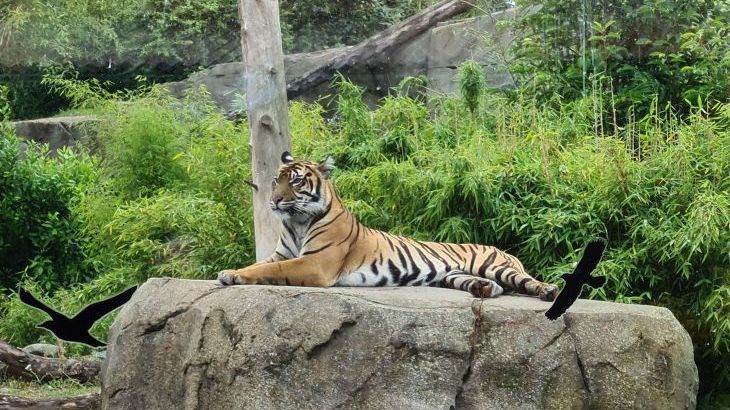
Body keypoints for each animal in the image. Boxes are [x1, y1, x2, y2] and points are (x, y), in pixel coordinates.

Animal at [216, 151, 556, 302]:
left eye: (296, 181)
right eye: (277, 179)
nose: (273, 200)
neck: (297, 221)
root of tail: (502, 250)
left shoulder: (315, 263)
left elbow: (271, 270)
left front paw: (232, 276)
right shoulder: (283, 254)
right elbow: (259, 264)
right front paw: (231, 273)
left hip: (496, 266)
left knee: (525, 281)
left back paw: (548, 291)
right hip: (456, 275)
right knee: (495, 287)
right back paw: (485, 289)